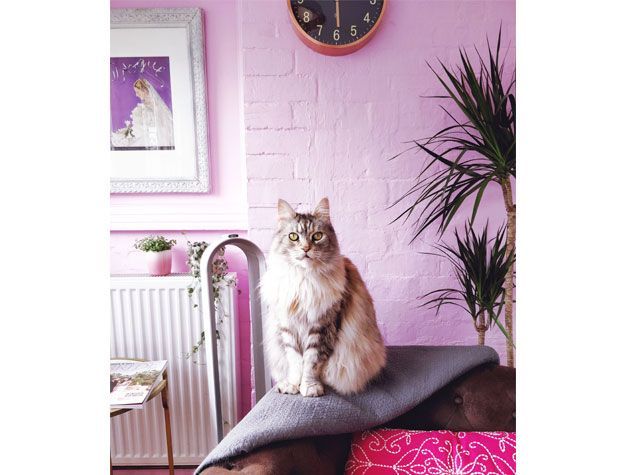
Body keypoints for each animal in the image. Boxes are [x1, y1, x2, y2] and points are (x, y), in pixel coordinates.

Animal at [260, 197, 388, 398]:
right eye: (293, 237)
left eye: (317, 236)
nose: (306, 248)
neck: (303, 280)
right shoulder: (288, 327)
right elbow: (295, 361)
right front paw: (292, 385)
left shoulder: (322, 325)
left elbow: (311, 363)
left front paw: (310, 387)